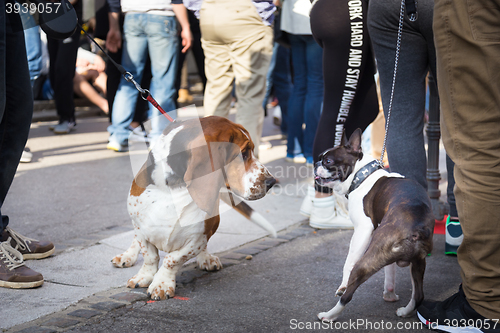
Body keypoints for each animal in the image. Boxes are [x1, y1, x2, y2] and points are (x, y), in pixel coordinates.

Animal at [316, 128, 434, 320]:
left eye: (328, 161)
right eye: (320, 158)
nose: (315, 163)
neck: (362, 175)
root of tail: (417, 228)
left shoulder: (363, 230)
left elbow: (348, 262)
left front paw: (342, 286)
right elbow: (390, 271)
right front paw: (390, 294)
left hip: (368, 258)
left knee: (348, 294)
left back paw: (329, 314)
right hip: (418, 262)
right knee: (419, 295)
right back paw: (405, 311)